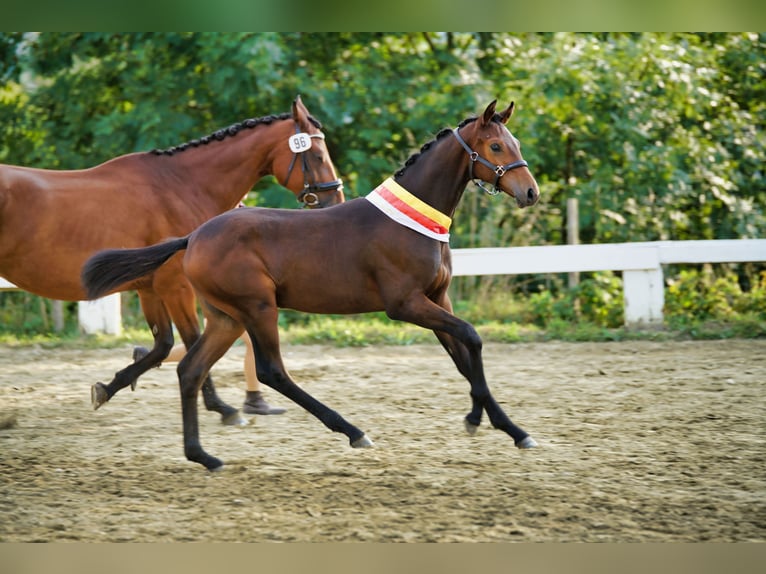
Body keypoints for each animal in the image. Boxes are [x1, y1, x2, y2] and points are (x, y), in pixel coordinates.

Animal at [1, 96, 343, 425]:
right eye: (317, 156)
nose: (335, 201)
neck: (182, 185)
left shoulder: (150, 289)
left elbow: (162, 344)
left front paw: (107, 388)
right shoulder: (177, 287)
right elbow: (192, 342)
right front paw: (221, 408)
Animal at [82, 99, 540, 470]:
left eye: (515, 142)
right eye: (496, 147)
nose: (531, 193)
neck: (411, 222)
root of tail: (193, 236)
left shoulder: (436, 299)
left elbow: (462, 355)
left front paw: (506, 428)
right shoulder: (406, 304)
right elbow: (472, 337)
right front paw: (483, 420)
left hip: (226, 318)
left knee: (190, 370)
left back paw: (202, 455)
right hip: (257, 307)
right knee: (271, 371)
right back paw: (352, 431)